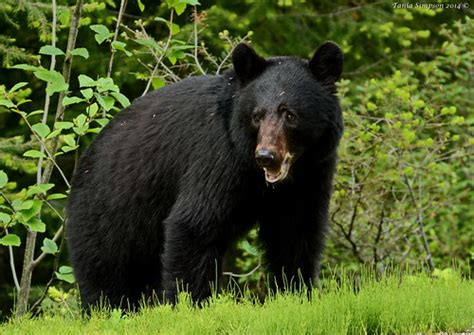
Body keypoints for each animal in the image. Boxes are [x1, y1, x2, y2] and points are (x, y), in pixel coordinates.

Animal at [66, 41, 342, 310]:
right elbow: (194, 224)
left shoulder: (313, 174)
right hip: (109, 214)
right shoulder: (218, 158)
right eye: (257, 115)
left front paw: (296, 293)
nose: (266, 156)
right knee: (104, 270)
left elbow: (295, 232)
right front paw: (192, 305)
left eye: (290, 114)